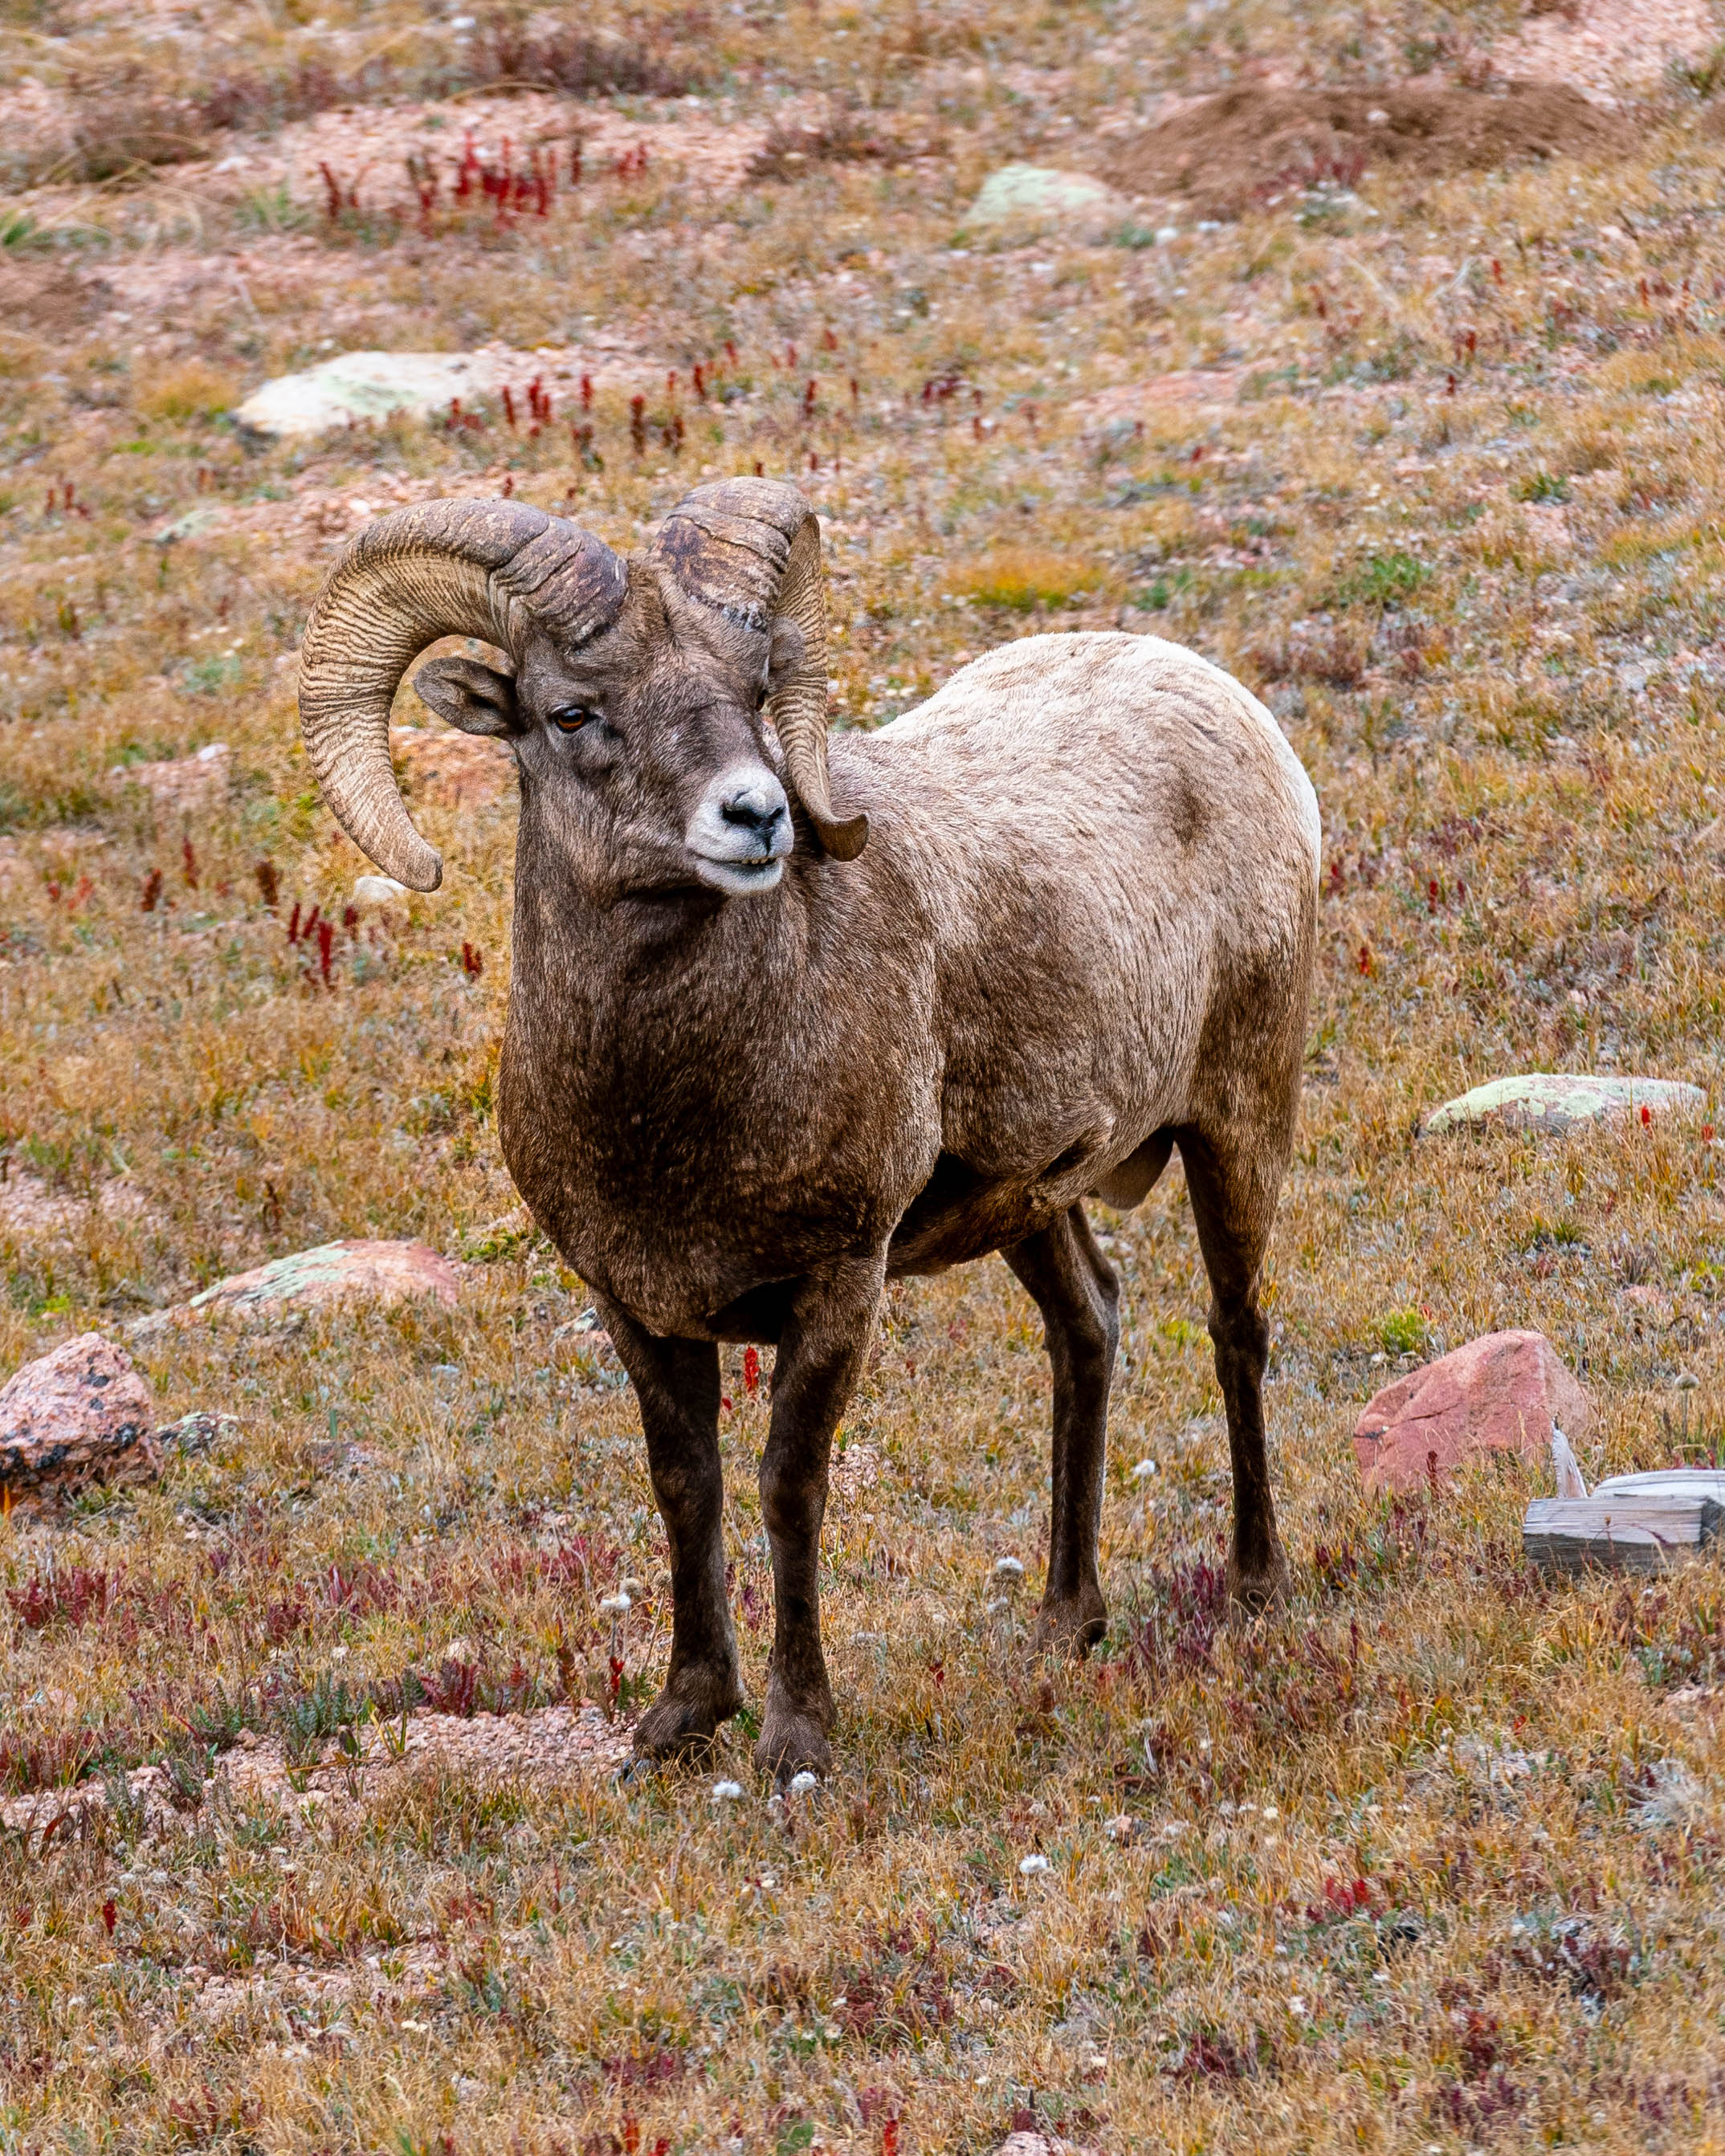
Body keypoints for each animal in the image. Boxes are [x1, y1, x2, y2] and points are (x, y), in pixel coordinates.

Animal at [298, 480, 1320, 1779]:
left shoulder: (837, 1284)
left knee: (1238, 1330)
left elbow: (789, 1489)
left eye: (752, 693)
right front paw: (681, 1719)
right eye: (573, 711)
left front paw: (795, 1735)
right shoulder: (633, 1305)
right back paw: (1064, 1620)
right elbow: (685, 1486)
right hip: (1034, 1203)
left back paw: (1257, 1587)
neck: (673, 1117)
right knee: (1088, 1328)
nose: (759, 815)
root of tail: (1226, 701)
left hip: (1238, 1121)